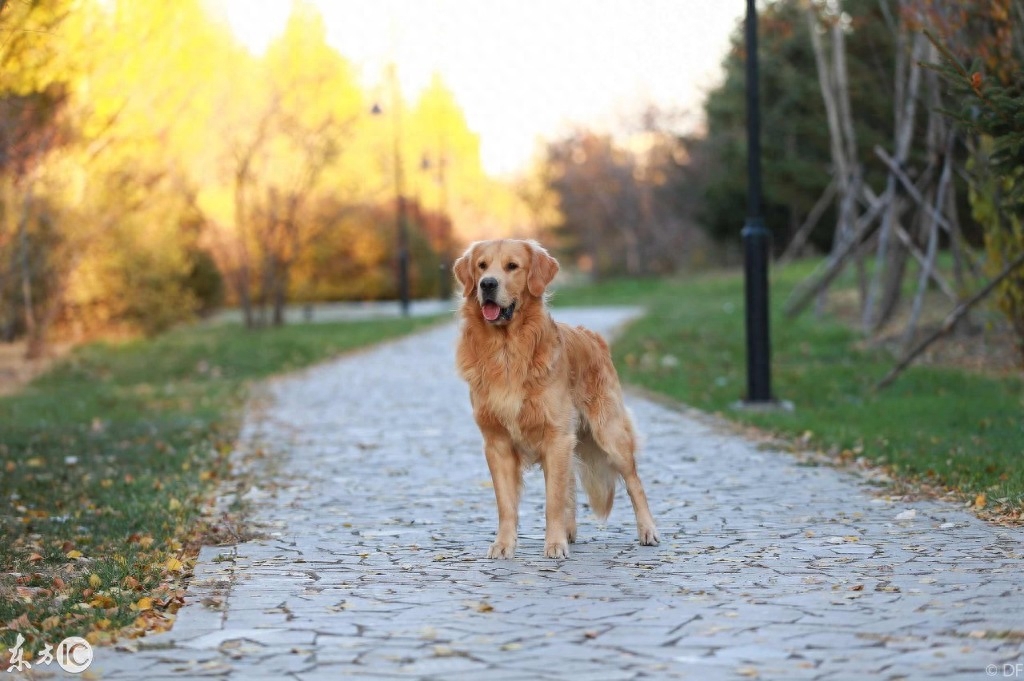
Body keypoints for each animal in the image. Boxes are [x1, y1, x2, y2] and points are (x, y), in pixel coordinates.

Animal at [452, 238, 659, 557]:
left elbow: (553, 501)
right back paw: (570, 531)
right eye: (481, 266)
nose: (487, 284)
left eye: (512, 266)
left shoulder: (556, 435)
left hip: (609, 433)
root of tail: (594, 337)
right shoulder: (497, 442)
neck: (506, 351)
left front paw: (554, 544)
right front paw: (504, 545)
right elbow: (506, 504)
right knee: (571, 483)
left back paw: (647, 530)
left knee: (633, 481)